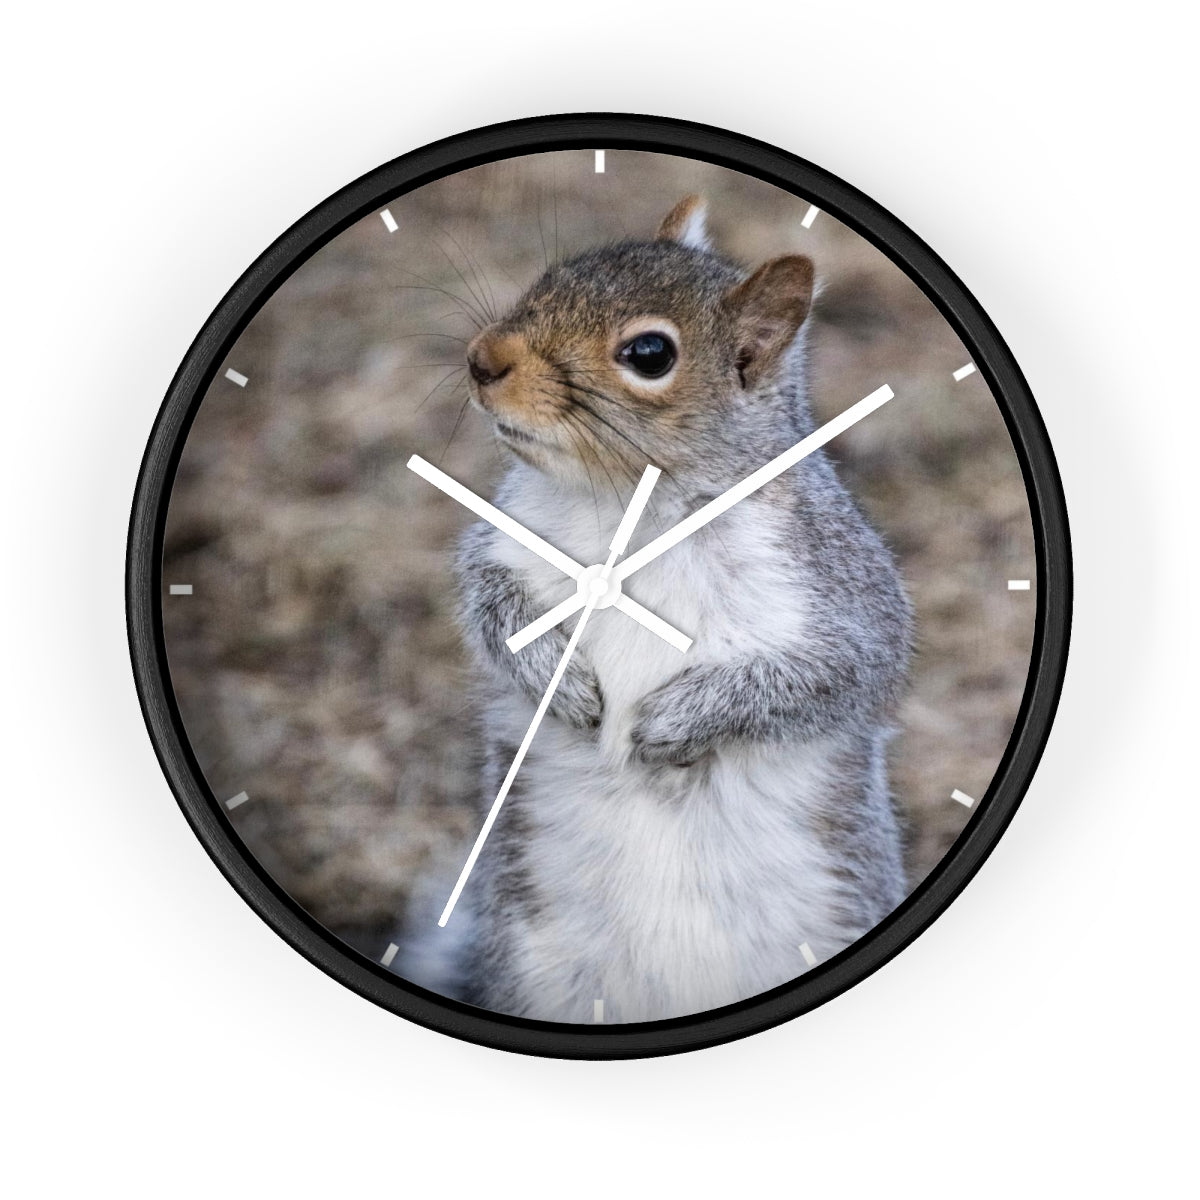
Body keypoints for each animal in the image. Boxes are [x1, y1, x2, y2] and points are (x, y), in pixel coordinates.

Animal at [451, 196, 913, 1023]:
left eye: (648, 354)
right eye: (551, 276)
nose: (482, 358)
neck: (633, 503)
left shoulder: (840, 588)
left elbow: (835, 675)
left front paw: (676, 722)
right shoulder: (504, 541)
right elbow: (486, 603)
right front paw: (556, 678)